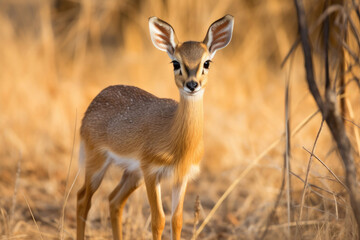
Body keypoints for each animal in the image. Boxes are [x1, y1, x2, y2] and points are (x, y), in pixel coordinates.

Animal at [76, 15, 233, 240]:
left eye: (207, 62)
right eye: (175, 62)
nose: (192, 85)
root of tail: (96, 99)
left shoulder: (181, 177)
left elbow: (177, 220)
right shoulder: (151, 172)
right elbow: (158, 220)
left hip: (133, 175)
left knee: (114, 200)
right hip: (97, 164)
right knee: (83, 199)